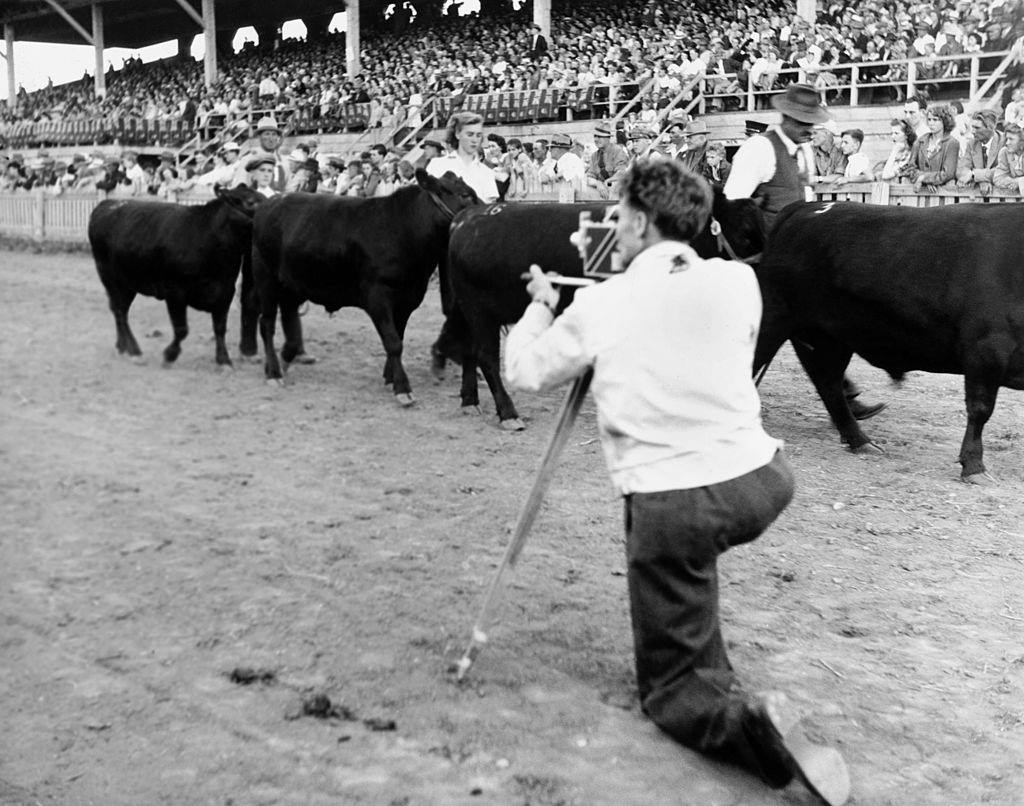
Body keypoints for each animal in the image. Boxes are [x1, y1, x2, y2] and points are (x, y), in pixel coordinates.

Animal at [89, 184, 264, 366]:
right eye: (250, 202)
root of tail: (107, 204)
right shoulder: (175, 292)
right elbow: (182, 330)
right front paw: (170, 354)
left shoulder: (225, 292)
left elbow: (220, 328)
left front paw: (223, 359)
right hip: (110, 278)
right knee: (119, 311)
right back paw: (133, 350)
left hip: (128, 283)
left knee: (120, 310)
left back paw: (122, 346)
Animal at [253, 168, 481, 403]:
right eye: (465, 195)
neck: (403, 230)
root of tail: (272, 201)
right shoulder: (377, 296)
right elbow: (393, 342)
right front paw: (402, 387)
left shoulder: (407, 299)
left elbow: (398, 337)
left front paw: (390, 377)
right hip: (265, 277)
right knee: (267, 324)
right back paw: (273, 372)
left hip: (293, 284)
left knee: (289, 316)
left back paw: (285, 358)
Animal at [436, 190, 765, 428]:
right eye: (744, 233)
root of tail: (469, 216)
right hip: (478, 311)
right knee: (487, 358)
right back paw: (508, 413)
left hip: (470, 311)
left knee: (469, 351)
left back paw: (470, 400)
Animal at [753, 199, 1024, 485]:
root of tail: (805, 206)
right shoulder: (986, 350)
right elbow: (980, 410)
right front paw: (973, 465)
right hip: (774, 319)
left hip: (827, 338)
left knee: (829, 386)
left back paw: (859, 440)